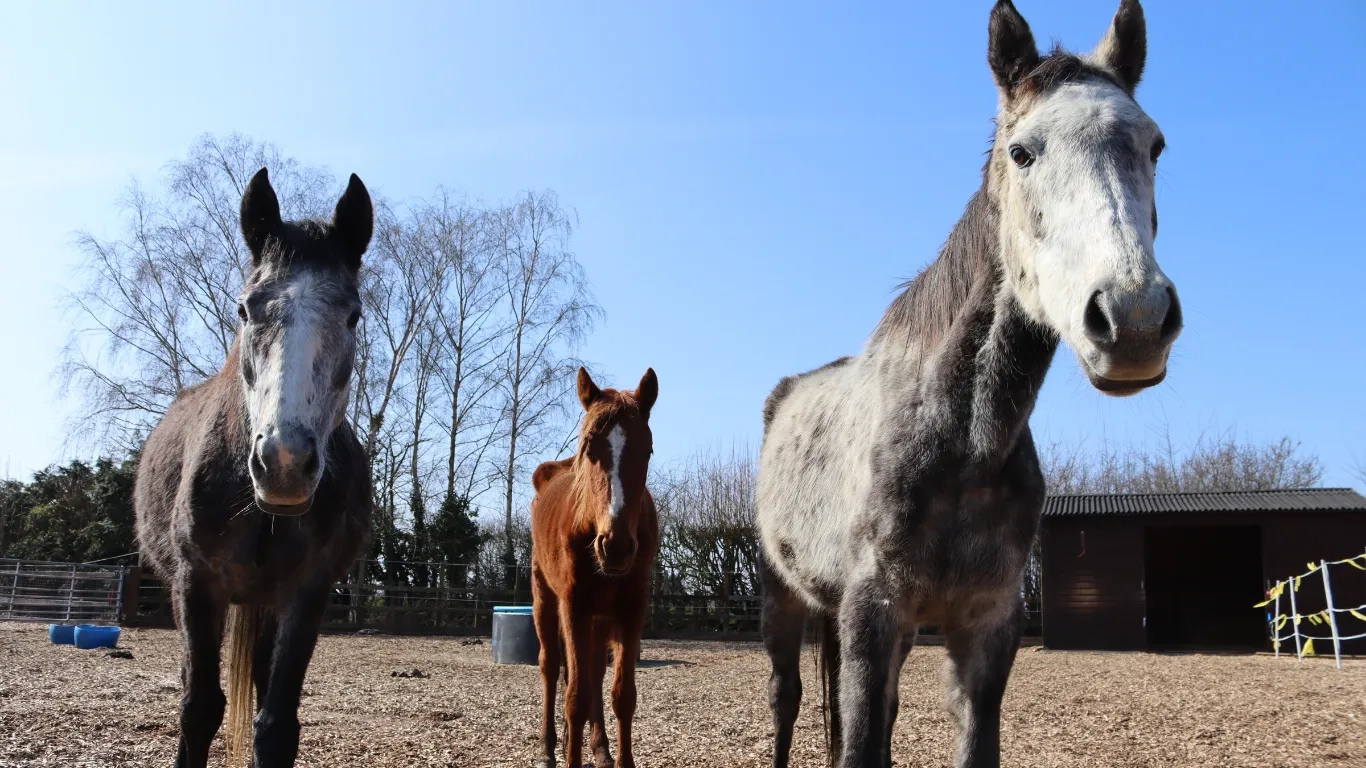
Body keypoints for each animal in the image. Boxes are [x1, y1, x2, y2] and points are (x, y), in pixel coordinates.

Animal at [134, 167, 374, 768]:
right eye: (245, 309)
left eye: (353, 314)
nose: (284, 462)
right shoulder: (196, 587)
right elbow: (198, 709)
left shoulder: (307, 593)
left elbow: (277, 724)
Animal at [530, 367, 660, 768]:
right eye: (589, 447)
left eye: (647, 450)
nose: (615, 546)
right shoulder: (574, 605)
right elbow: (575, 696)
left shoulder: (632, 608)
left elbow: (622, 694)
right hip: (545, 600)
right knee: (551, 666)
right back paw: (547, 747)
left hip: (601, 618)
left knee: (594, 672)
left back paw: (600, 747)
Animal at [755, 2, 1181, 767]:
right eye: (1022, 152)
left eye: (1155, 145)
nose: (1134, 318)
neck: (960, 439)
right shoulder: (873, 616)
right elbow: (858, 740)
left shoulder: (987, 627)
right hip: (782, 596)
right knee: (787, 697)